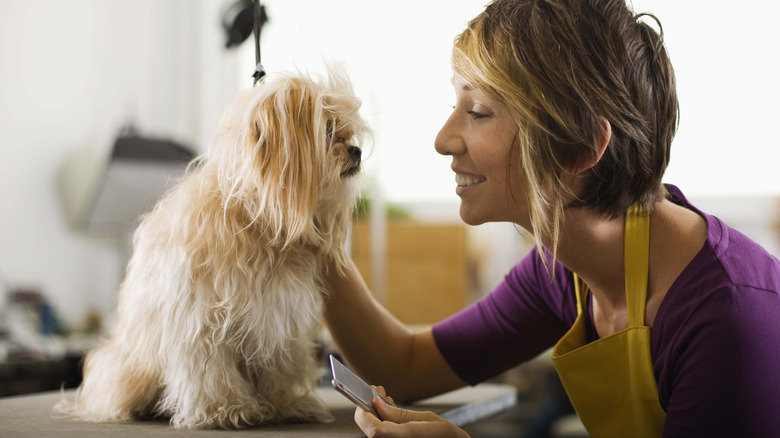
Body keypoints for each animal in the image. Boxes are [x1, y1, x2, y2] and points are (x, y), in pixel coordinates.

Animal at [55, 64, 372, 428]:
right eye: (329, 130)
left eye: (349, 133)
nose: (356, 151)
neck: (258, 225)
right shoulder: (200, 319)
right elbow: (210, 370)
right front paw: (226, 409)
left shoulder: (278, 316)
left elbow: (280, 364)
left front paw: (286, 403)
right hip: (128, 368)